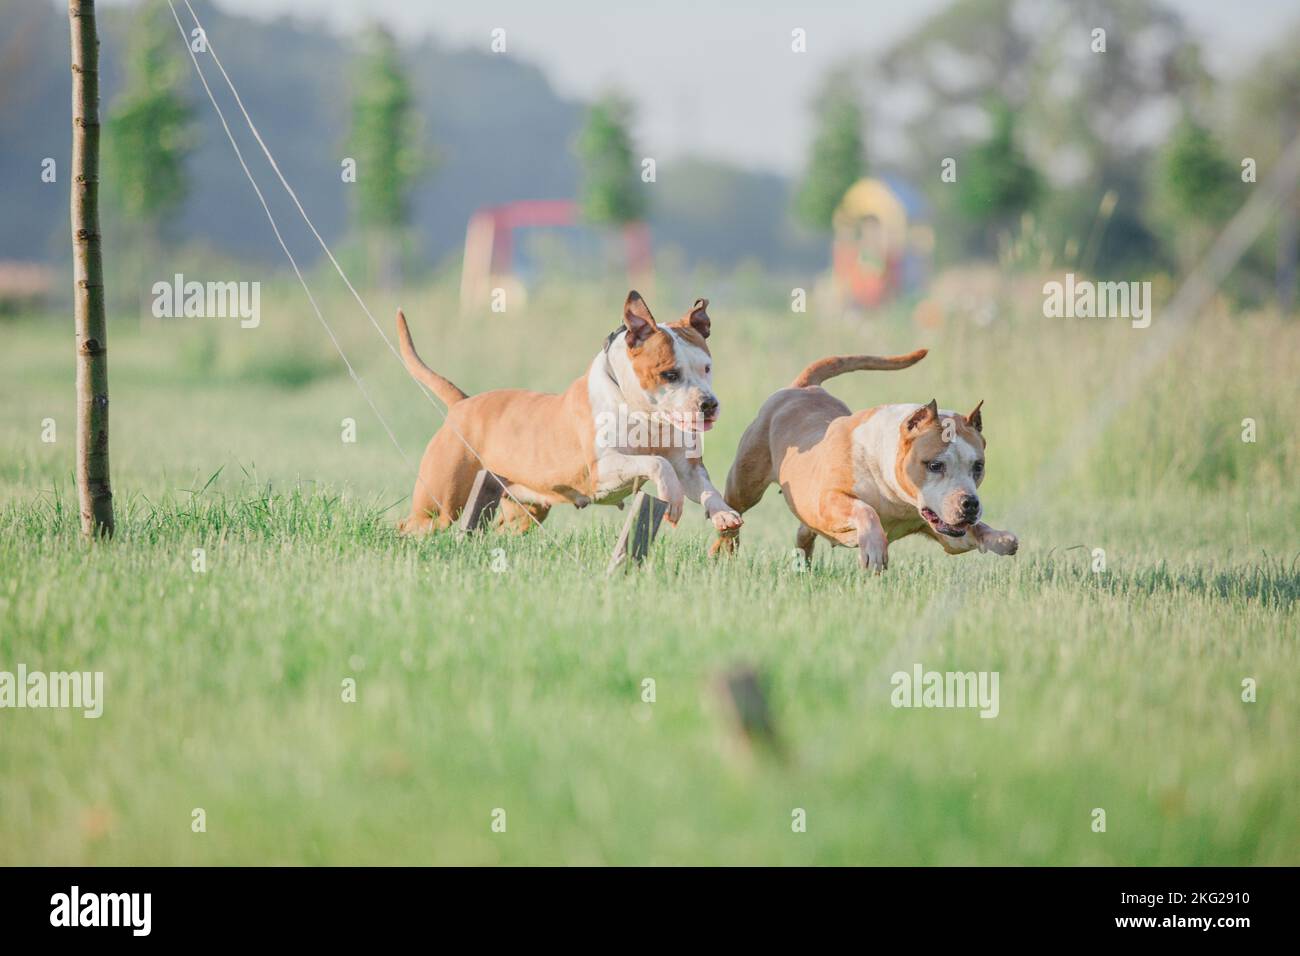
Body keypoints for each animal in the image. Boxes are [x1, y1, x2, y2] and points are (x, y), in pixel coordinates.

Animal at [392, 287, 743, 535]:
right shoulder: (602, 469)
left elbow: (702, 485)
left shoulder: (688, 466)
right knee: (411, 526)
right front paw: (672, 496)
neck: (643, 414)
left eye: (707, 367)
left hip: (525, 507)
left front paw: (723, 513)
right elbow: (657, 463)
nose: (708, 405)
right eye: (670, 374)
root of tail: (463, 403)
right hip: (439, 506)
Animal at [717, 353, 1019, 572]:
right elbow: (865, 510)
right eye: (935, 465)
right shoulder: (830, 499)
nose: (970, 504)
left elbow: (973, 532)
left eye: (978, 466)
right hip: (744, 487)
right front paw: (873, 547)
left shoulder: (949, 536)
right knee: (733, 514)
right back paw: (723, 547)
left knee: (805, 530)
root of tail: (803, 387)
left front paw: (999, 537)